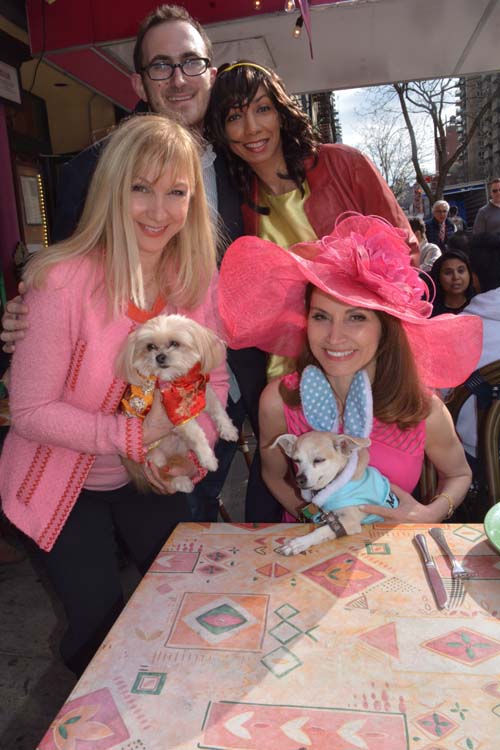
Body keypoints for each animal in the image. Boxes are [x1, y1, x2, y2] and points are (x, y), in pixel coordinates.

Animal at [117, 316, 238, 496]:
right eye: (150, 346)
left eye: (174, 343)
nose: (159, 357)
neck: (180, 381)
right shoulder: (175, 414)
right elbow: (197, 433)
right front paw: (208, 458)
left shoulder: (204, 392)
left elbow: (219, 411)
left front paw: (229, 430)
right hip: (154, 456)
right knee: (165, 472)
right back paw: (183, 482)